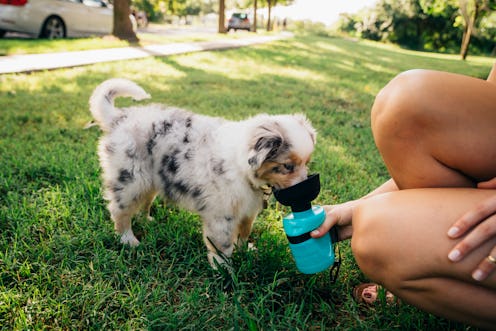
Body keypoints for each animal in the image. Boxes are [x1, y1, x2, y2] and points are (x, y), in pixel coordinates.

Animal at [89, 79, 318, 268]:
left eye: (307, 163)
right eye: (287, 166)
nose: (309, 193)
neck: (242, 167)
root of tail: (120, 117)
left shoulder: (247, 209)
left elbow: (244, 232)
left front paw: (246, 251)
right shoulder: (221, 215)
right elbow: (223, 246)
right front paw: (225, 271)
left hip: (150, 179)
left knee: (144, 202)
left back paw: (147, 221)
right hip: (130, 179)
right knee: (119, 211)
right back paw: (128, 240)